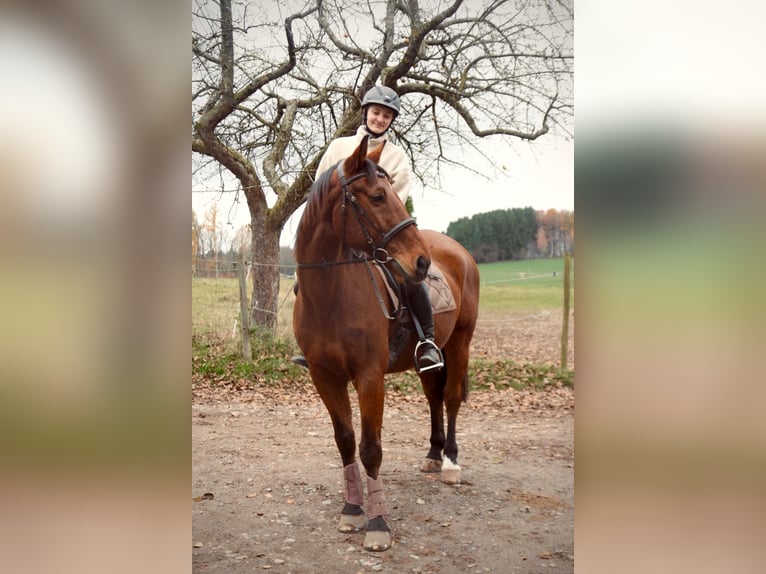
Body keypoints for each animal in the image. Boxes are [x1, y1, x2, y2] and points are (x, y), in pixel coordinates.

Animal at [292, 136, 480, 552]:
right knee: (434, 396)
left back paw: (450, 462)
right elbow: (346, 441)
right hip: (430, 357)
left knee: (451, 399)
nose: (421, 262)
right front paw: (351, 510)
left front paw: (378, 524)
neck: (330, 295)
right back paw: (433, 454)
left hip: (460, 343)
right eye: (377, 196)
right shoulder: (324, 376)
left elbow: (371, 448)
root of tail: (459, 251)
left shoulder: (369, 377)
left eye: (393, 191)